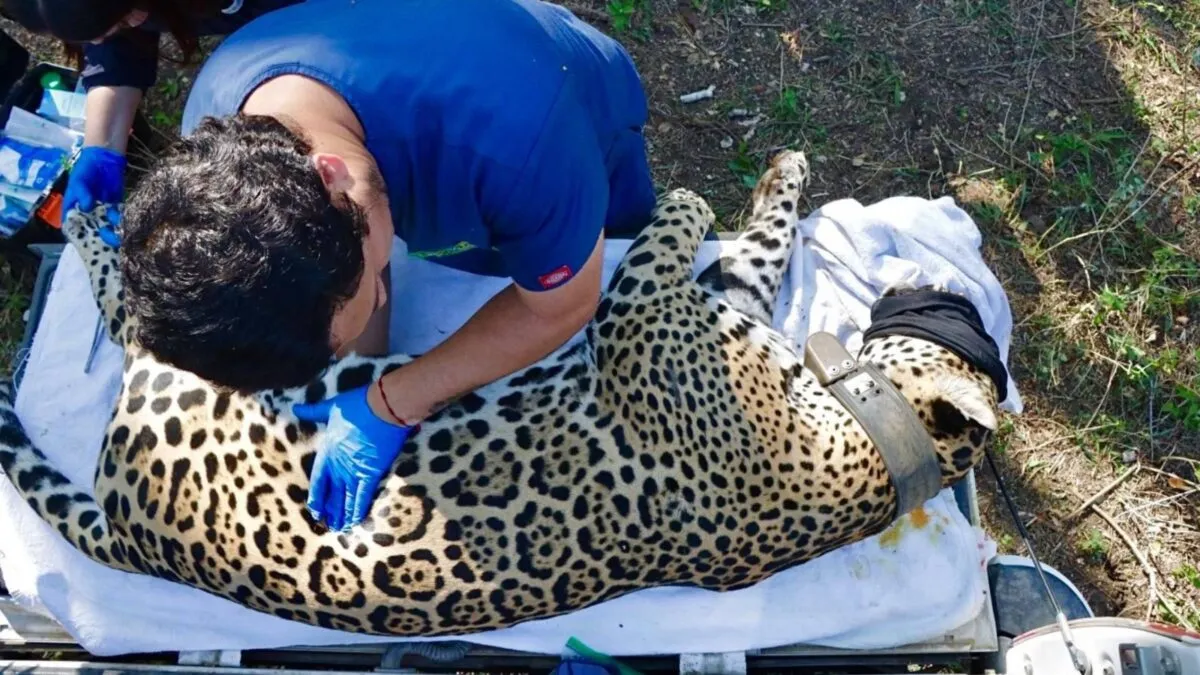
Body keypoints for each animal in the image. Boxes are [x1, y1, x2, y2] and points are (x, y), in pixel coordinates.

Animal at [0, 149, 1001, 638]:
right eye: (952, 309)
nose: (931, 282)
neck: (869, 435)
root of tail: (138, 539)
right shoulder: (723, 305)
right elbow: (762, 242)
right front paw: (779, 176)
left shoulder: (637, 316)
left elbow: (671, 233)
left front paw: (681, 198)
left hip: (227, 372)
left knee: (130, 316)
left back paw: (99, 221)